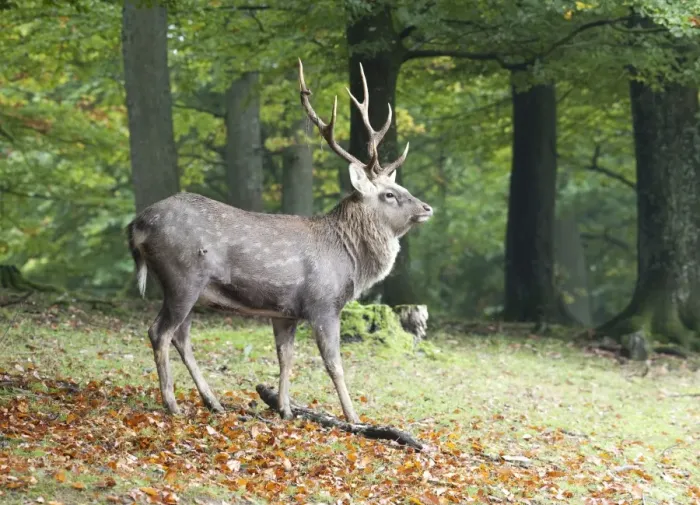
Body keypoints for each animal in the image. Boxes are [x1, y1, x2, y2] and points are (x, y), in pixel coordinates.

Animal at [126, 59, 433, 423]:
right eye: (390, 194)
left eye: (401, 187)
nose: (427, 208)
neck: (349, 259)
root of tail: (137, 225)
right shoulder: (323, 303)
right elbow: (334, 364)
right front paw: (353, 418)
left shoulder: (285, 312)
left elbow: (285, 357)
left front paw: (284, 408)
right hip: (182, 276)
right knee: (159, 332)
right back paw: (172, 404)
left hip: (183, 287)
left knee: (181, 338)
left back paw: (213, 402)